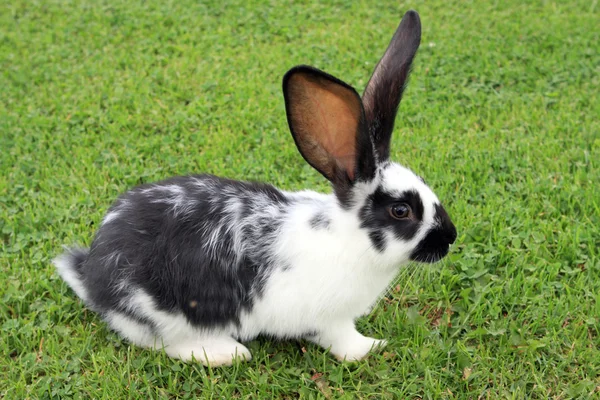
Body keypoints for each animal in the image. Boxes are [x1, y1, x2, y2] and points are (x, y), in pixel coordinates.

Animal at [55, 9, 454, 366]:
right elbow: (342, 340)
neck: (348, 238)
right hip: (165, 312)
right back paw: (228, 353)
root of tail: (91, 272)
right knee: (168, 344)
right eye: (401, 210)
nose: (450, 238)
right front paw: (372, 348)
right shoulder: (328, 319)